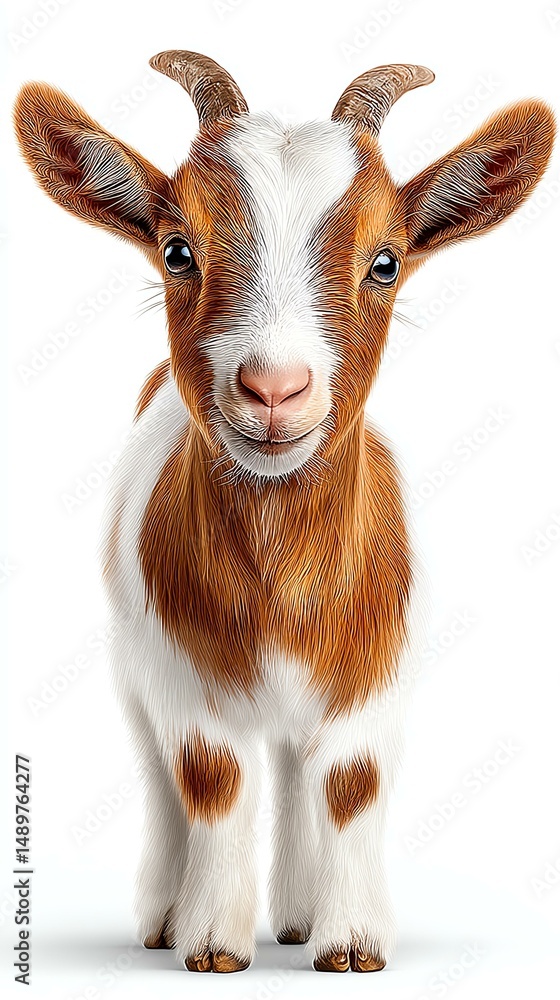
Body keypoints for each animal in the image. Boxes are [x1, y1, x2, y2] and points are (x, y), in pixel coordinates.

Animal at [14, 51, 554, 974]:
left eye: (385, 262)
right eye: (177, 250)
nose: (274, 389)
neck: (281, 584)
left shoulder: (378, 674)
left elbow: (349, 781)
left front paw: (353, 944)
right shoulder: (178, 673)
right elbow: (211, 776)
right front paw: (211, 944)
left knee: (301, 771)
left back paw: (301, 917)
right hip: (129, 667)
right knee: (161, 777)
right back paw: (163, 916)